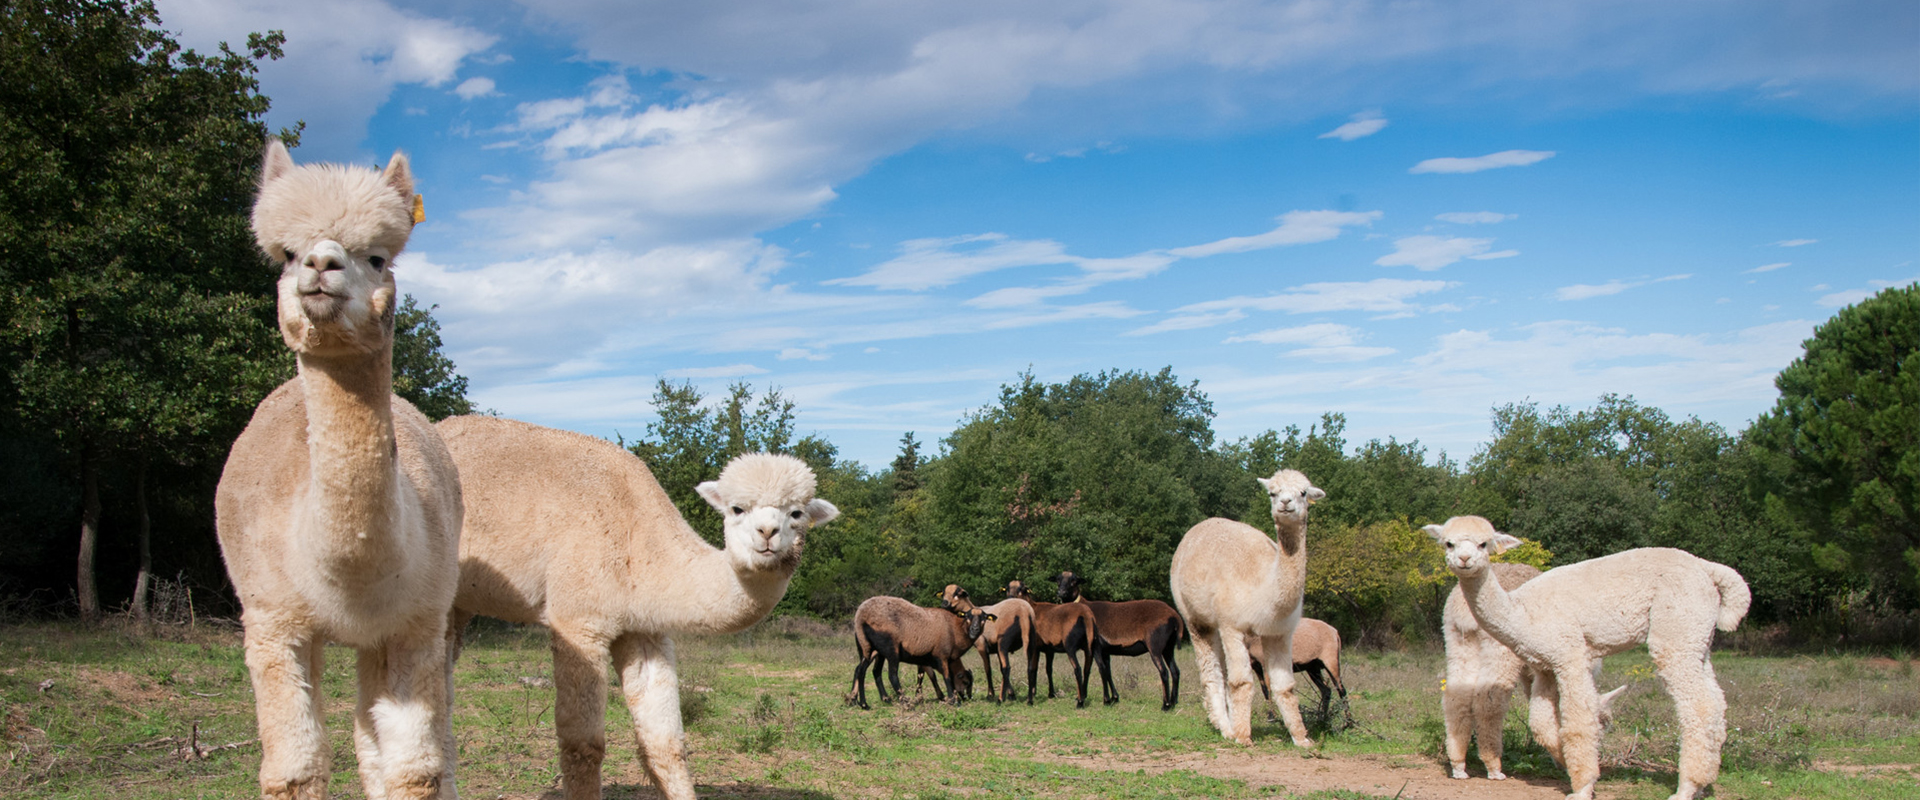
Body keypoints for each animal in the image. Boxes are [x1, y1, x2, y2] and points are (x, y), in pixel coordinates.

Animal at [852, 594, 990, 705]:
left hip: (869, 647)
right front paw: (952, 700)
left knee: (865, 671)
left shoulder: (924, 658)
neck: (955, 630)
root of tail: (860, 617)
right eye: (966, 682)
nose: (968, 697)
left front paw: (929, 696)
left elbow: (926, 676)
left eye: (984, 618)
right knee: (891, 675)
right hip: (890, 649)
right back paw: (904, 701)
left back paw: (865, 702)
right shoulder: (941, 656)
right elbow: (946, 677)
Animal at [1052, 571, 1182, 705]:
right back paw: (1173, 701)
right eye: (1058, 579)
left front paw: (1103, 699)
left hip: (1155, 645)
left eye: (1074, 580)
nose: (1061, 592)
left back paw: (1166, 705)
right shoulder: (1105, 650)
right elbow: (1106, 671)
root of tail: (1175, 617)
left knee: (1164, 671)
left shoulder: (1096, 646)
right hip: (1168, 647)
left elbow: (1098, 669)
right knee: (1175, 671)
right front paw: (1114, 697)